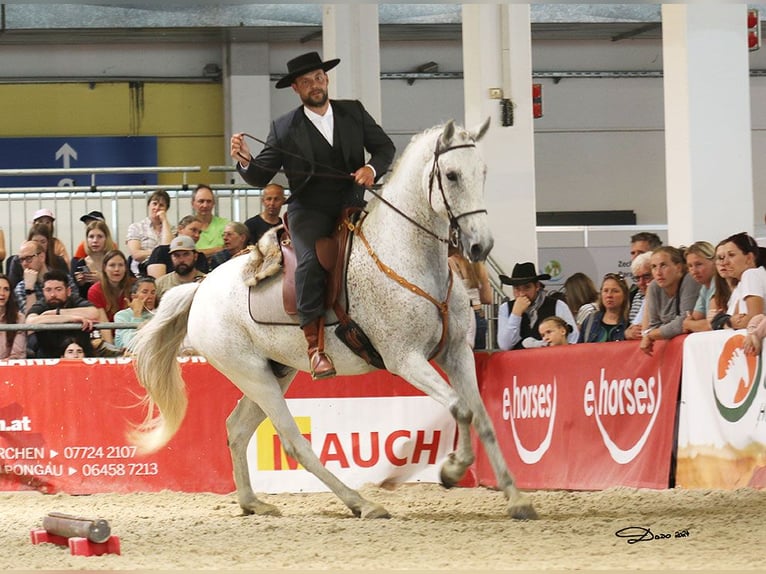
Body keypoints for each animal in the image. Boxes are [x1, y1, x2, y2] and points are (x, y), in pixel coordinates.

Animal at [129, 120, 540, 520]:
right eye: (452, 175)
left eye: (482, 171)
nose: (481, 246)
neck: (409, 259)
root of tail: (200, 288)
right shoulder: (405, 359)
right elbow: (461, 408)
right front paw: (451, 470)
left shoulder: (457, 353)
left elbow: (481, 417)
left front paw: (515, 498)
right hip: (252, 374)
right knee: (294, 443)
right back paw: (362, 503)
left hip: (275, 371)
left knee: (237, 429)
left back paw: (253, 503)